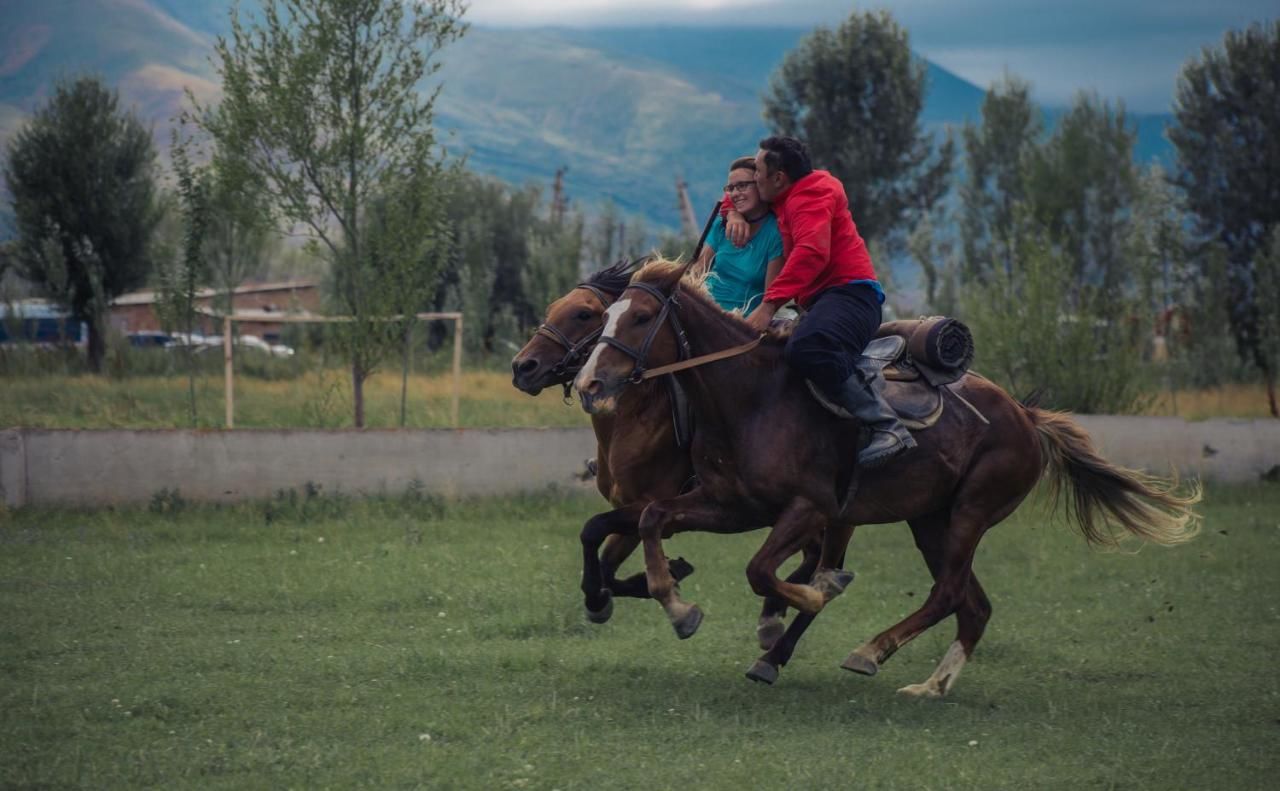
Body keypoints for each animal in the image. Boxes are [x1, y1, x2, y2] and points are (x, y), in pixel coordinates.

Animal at [576, 255, 1203, 691]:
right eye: (601, 316)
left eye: (640, 317)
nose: (588, 384)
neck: (751, 398)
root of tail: (1025, 416)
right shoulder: (726, 505)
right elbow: (648, 520)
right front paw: (676, 604)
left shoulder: (808, 508)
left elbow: (760, 571)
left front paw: (808, 596)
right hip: (931, 520)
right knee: (972, 604)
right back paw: (930, 685)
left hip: (971, 511)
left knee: (949, 592)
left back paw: (867, 651)